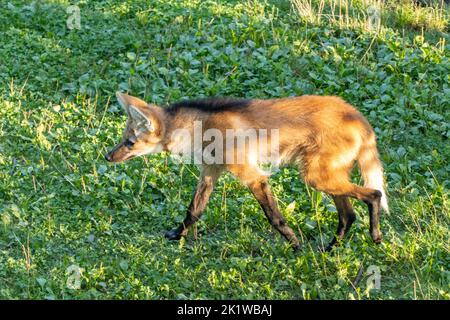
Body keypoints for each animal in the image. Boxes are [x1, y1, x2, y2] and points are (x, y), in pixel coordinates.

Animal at [105, 91, 386, 251]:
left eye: (129, 143)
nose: (108, 156)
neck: (198, 127)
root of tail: (356, 114)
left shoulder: (253, 176)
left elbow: (274, 217)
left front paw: (295, 245)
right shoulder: (211, 170)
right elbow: (194, 210)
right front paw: (177, 234)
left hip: (315, 177)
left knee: (374, 194)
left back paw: (375, 235)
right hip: (325, 176)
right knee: (348, 215)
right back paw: (330, 248)